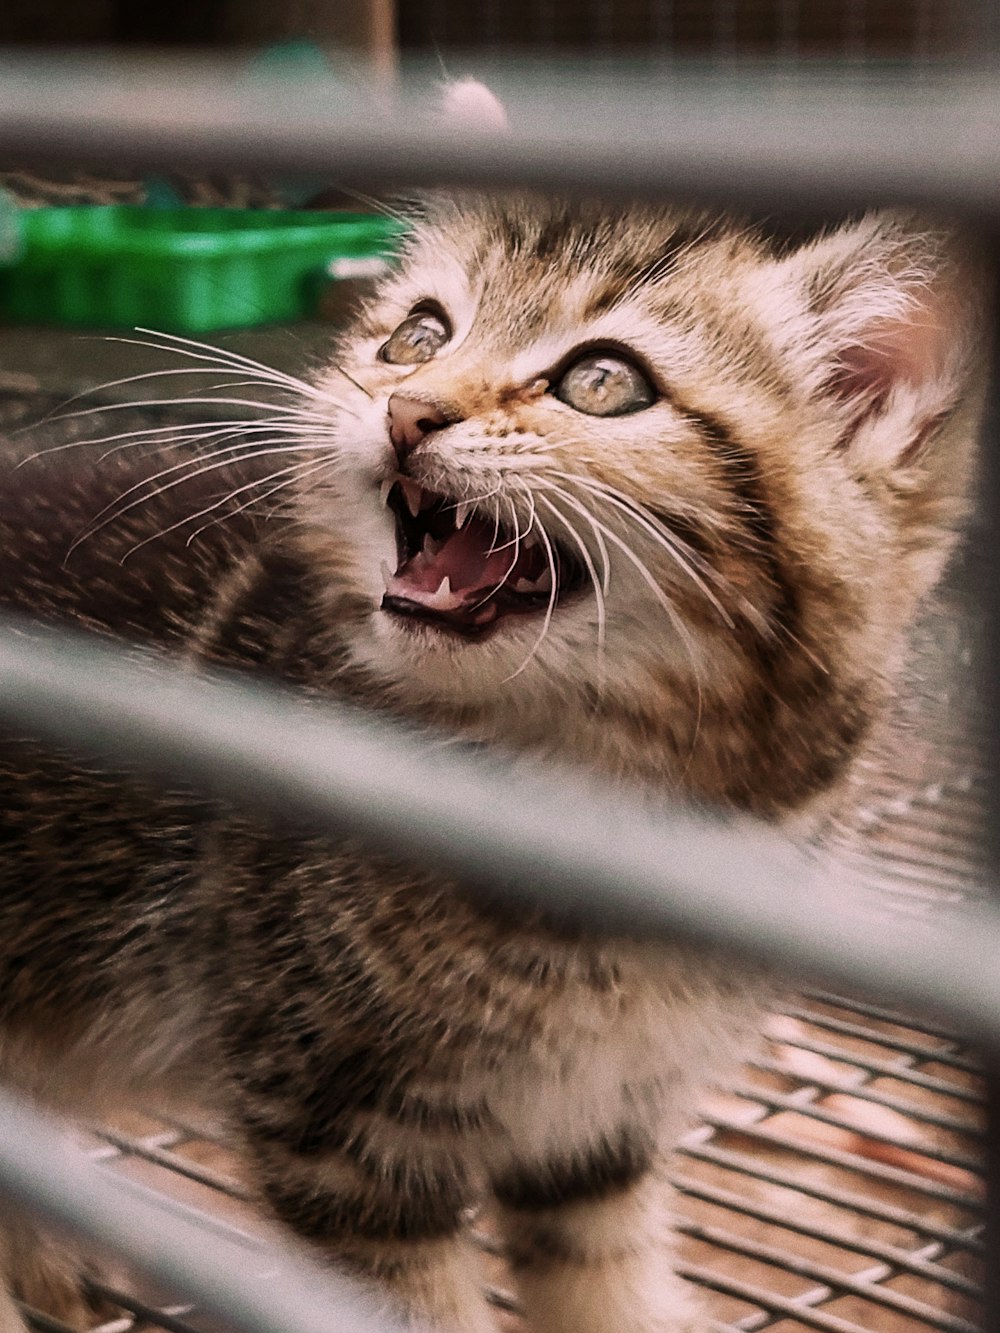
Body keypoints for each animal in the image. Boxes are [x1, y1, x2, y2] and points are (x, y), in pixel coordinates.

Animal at [0, 190, 986, 1333]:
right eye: (417, 337)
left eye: (603, 382)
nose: (408, 408)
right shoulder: (338, 1131)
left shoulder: (598, 1126)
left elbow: (605, 1273)